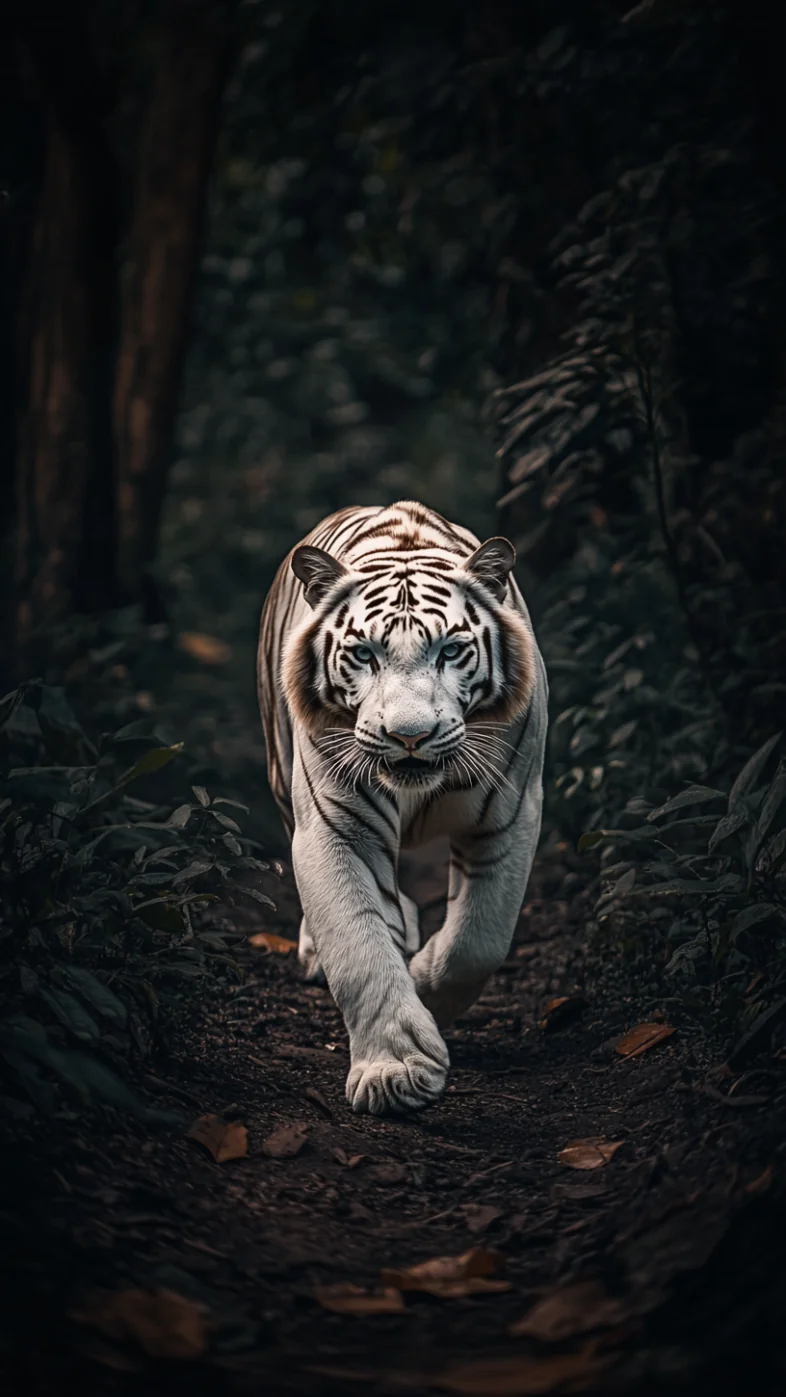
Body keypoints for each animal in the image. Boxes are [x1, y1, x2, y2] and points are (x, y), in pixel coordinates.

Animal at [257, 501, 548, 1116]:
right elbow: (358, 944)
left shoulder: (512, 813)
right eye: (364, 654)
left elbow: (479, 939)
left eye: (452, 651)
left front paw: (426, 990)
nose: (410, 736)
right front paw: (396, 1071)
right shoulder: (337, 826)